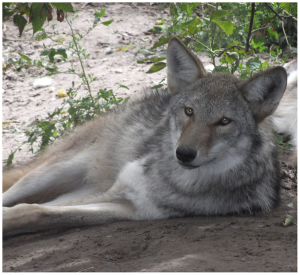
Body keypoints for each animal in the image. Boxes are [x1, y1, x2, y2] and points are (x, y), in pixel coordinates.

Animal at [2, 37, 288, 238]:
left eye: (224, 122)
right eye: (189, 112)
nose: (184, 153)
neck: (176, 181)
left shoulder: (130, 207)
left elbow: (37, 211)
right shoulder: (117, 189)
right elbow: (27, 208)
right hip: (53, 171)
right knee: (12, 192)